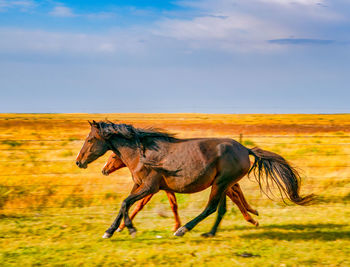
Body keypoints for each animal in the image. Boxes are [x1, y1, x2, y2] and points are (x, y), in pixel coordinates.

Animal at [101, 153, 260, 232]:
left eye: (113, 157)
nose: (104, 170)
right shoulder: (166, 189)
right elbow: (174, 205)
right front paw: (177, 225)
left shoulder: (151, 189)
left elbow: (138, 205)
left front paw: (122, 226)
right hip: (221, 184)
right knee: (235, 190)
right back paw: (252, 213)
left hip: (219, 184)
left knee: (234, 195)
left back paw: (252, 217)